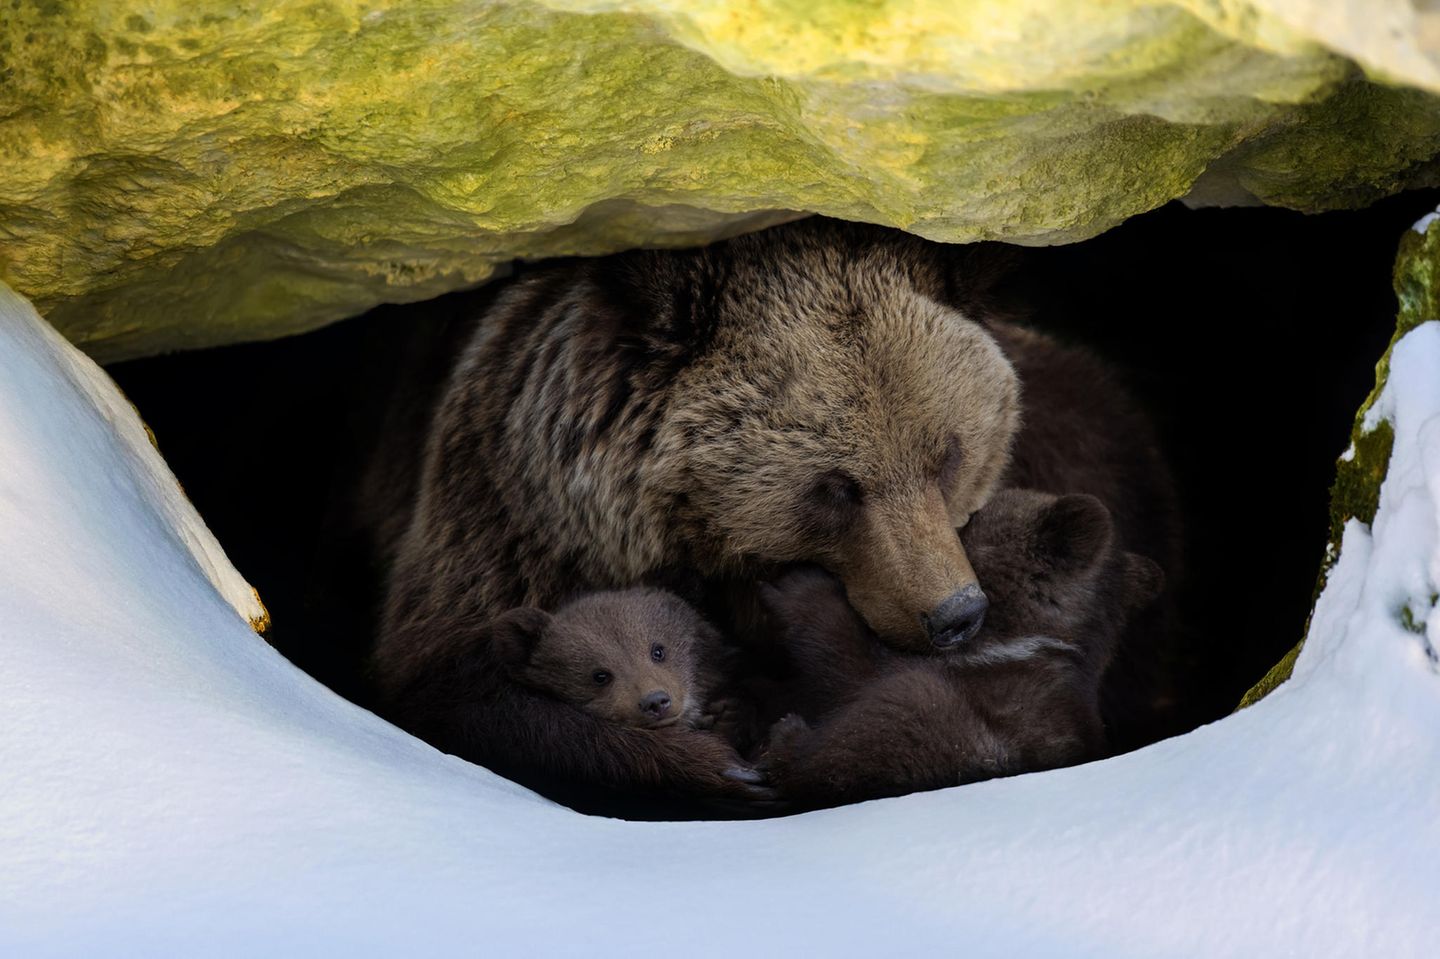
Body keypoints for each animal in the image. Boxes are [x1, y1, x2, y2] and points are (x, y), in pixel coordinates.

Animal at [371, 214, 1025, 800]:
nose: (955, 614)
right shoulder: (510, 526)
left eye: (947, 455)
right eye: (838, 486)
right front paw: (718, 762)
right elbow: (462, 690)